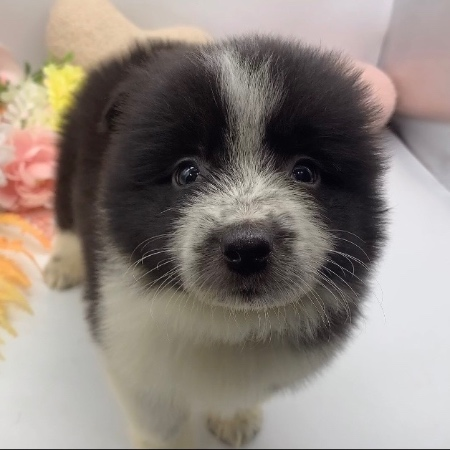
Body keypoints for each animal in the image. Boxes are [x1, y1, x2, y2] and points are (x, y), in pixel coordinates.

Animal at [44, 36, 387, 448]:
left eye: (305, 172)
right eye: (187, 173)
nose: (247, 249)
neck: (226, 323)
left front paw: (235, 419)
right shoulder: (129, 347)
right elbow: (162, 424)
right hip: (71, 147)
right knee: (65, 213)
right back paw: (63, 264)